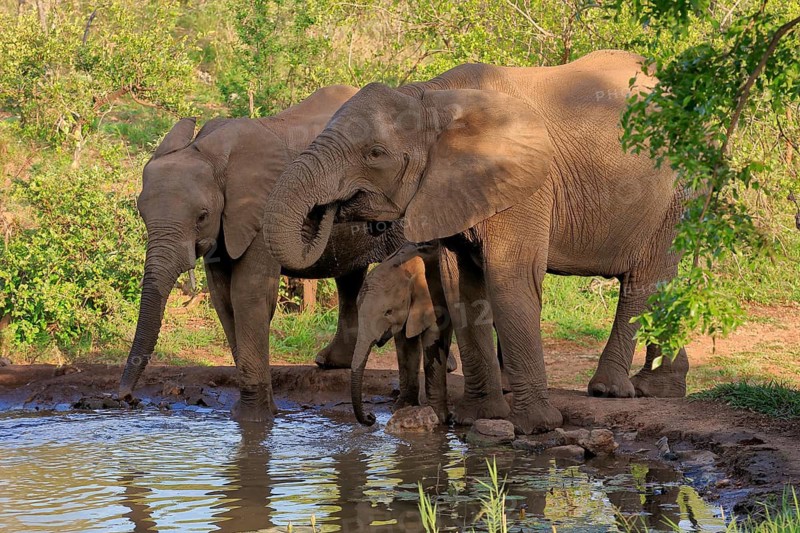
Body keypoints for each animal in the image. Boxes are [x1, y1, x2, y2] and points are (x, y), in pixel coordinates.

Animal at [118, 85, 415, 422]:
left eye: (202, 216)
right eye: (141, 213)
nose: (128, 399)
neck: (210, 153)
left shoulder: (262, 207)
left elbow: (249, 294)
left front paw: (254, 418)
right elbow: (224, 298)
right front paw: (252, 413)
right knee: (349, 280)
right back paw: (329, 362)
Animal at [350, 242, 447, 425]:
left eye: (388, 312)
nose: (371, 417)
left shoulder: (436, 298)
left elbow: (433, 339)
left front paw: (439, 417)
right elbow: (406, 345)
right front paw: (402, 408)